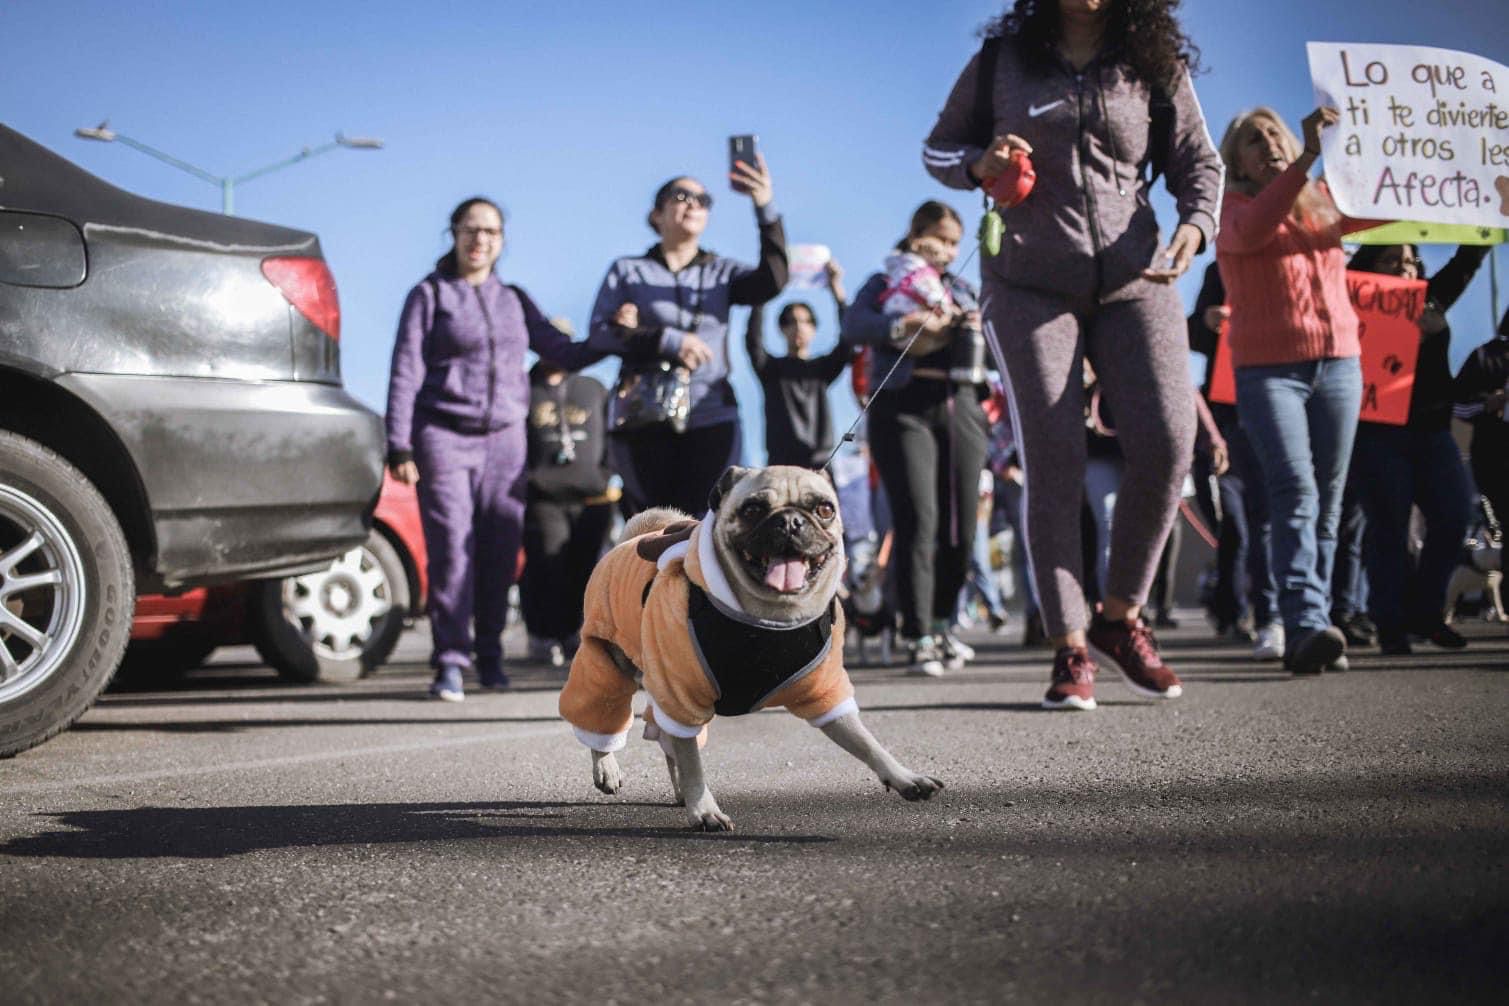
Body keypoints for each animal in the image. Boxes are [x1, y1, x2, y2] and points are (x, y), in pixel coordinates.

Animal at [561, 467, 935, 832]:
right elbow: (693, 764)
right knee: (603, 721)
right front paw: (705, 810)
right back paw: (608, 770)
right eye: (753, 509)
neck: (767, 619)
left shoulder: (825, 695)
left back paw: (679, 791)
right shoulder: (682, 696)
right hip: (609, 665)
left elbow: (865, 741)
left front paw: (903, 777)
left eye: (825, 509)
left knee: (669, 740)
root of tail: (630, 539)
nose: (790, 521)